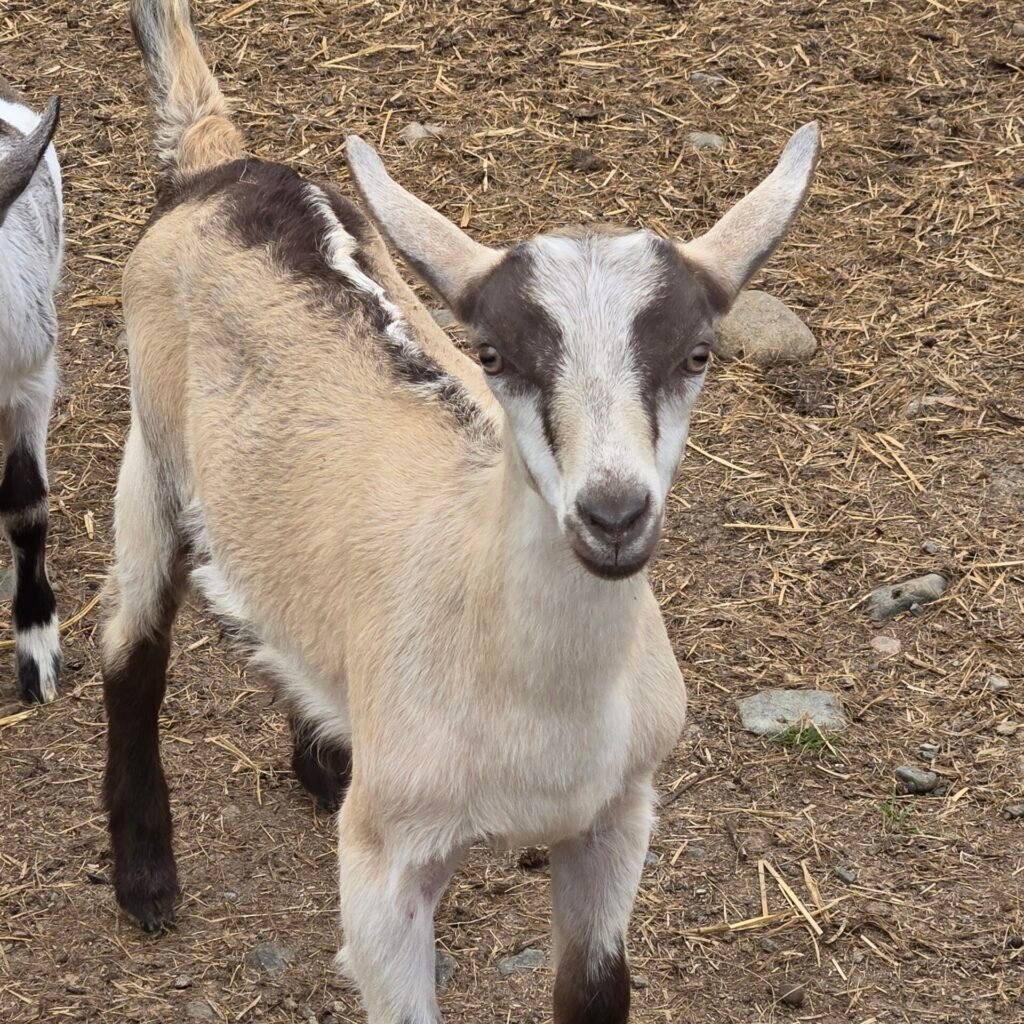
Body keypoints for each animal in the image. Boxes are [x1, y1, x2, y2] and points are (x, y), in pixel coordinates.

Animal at [103, 2, 820, 1021]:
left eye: (697, 355)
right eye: (493, 354)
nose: (613, 513)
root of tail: (220, 168)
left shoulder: (615, 820)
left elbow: (596, 992)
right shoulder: (382, 871)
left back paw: (321, 758)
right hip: (152, 441)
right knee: (132, 646)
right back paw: (146, 877)